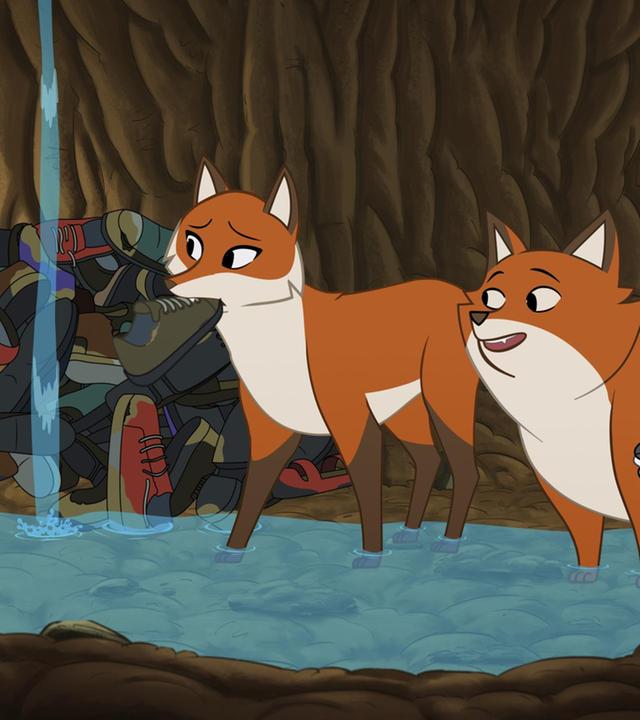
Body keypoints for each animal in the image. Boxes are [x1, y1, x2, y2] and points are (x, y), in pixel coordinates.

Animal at [165, 159, 480, 567]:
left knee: (465, 470)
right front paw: (233, 551)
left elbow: (366, 491)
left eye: (238, 256)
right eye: (191, 243)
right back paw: (410, 534)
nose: (174, 282)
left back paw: (450, 542)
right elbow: (253, 495)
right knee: (428, 460)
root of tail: (459, 293)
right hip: (402, 409)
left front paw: (370, 555)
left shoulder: (353, 425)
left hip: (444, 402)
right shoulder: (270, 432)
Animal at [461, 211, 640, 582]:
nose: (479, 315)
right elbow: (586, 539)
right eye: (490, 297)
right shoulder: (564, 490)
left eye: (538, 300)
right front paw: (586, 576)